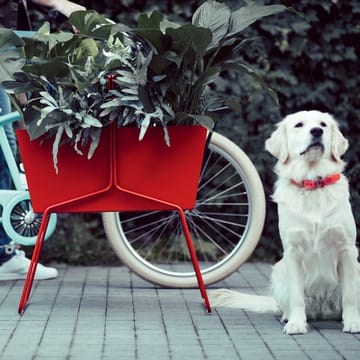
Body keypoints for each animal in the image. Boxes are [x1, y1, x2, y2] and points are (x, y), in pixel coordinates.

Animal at [210, 109, 360, 334]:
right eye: (299, 125)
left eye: (323, 124)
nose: (316, 131)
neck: (312, 184)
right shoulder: (293, 251)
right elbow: (296, 296)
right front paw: (296, 323)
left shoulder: (347, 249)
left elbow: (350, 295)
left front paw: (353, 322)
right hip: (279, 270)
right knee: (287, 304)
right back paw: (288, 316)